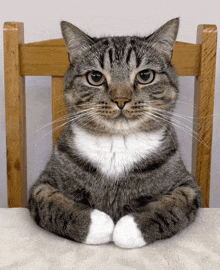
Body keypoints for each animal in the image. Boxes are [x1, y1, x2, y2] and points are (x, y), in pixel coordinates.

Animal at [28, 17, 204, 249]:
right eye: (95, 77)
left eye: (145, 75)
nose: (121, 99)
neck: (118, 144)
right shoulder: (41, 185)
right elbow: (54, 204)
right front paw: (100, 226)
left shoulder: (188, 186)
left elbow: (172, 206)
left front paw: (126, 230)